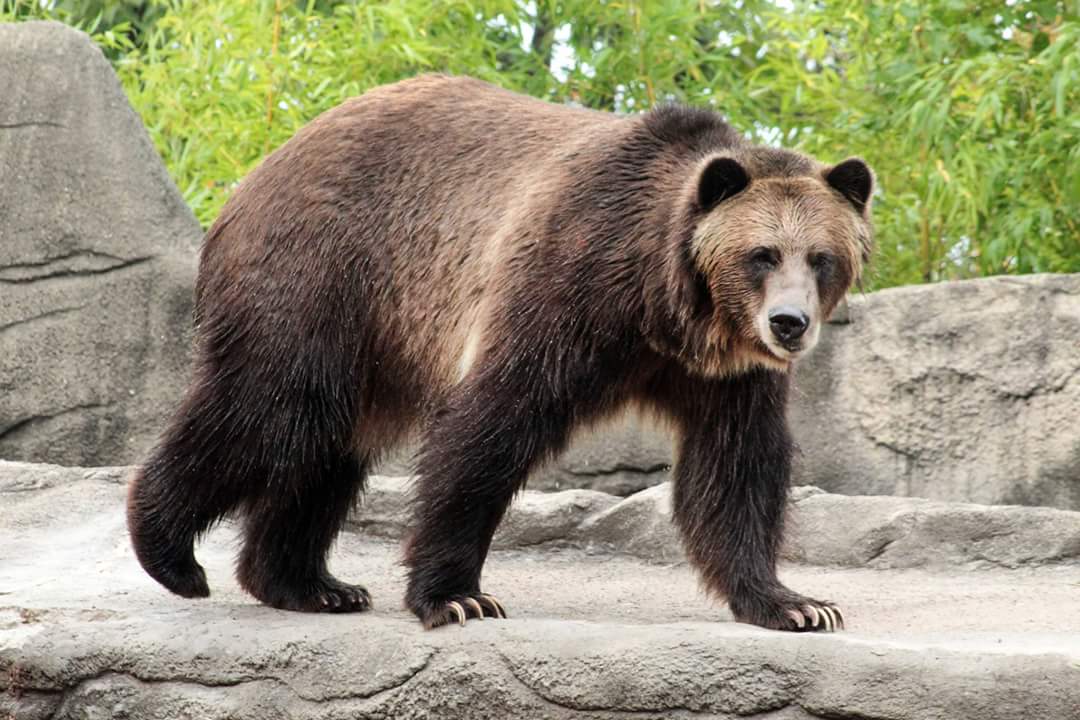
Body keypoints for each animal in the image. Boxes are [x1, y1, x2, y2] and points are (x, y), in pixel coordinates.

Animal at [127, 74, 873, 632]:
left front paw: (796, 604)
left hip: (373, 338)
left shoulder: (724, 374)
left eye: (822, 257)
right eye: (762, 254)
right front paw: (457, 596)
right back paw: (170, 553)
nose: (788, 323)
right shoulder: (568, 284)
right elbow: (495, 422)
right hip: (325, 271)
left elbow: (736, 467)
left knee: (327, 443)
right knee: (272, 406)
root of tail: (262, 170)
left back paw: (308, 582)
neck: (664, 308)